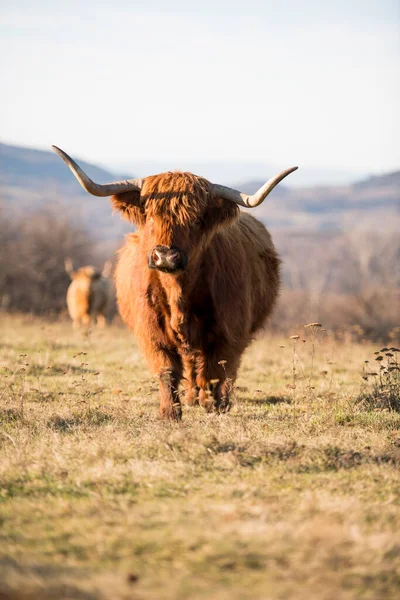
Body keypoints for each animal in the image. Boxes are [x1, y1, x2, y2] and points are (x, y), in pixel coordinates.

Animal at [53, 146, 296, 418]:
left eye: (196, 220)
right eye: (150, 216)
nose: (166, 256)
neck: (179, 293)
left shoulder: (228, 331)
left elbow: (217, 370)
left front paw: (214, 405)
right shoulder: (152, 332)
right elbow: (167, 370)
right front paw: (170, 413)